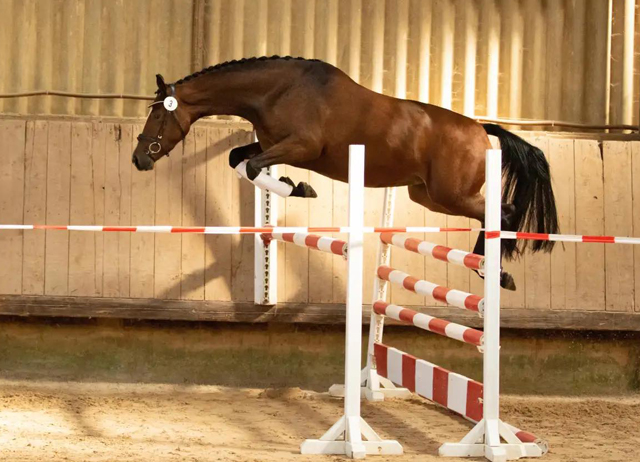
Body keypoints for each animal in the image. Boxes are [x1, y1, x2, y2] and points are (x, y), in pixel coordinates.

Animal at [132, 56, 556, 290]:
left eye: (157, 114)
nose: (139, 158)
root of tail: (482, 129)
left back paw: (495, 271)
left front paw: (299, 187)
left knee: (503, 212)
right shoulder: (270, 143)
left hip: (451, 193)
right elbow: (240, 159)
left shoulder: (302, 147)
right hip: (428, 196)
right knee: (492, 213)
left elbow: (252, 164)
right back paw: (488, 269)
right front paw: (291, 184)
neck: (277, 90)